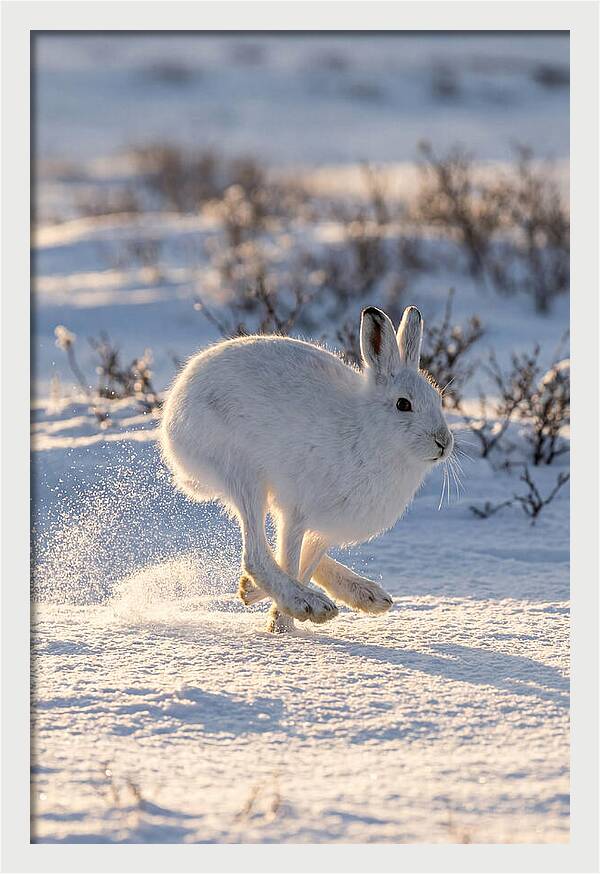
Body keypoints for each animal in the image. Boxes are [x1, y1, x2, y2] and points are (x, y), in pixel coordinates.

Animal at [160, 305, 454, 633]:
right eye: (403, 404)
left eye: (438, 398)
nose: (444, 442)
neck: (368, 433)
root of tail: (173, 411)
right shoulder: (298, 511)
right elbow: (290, 559)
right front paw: (284, 624)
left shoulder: (325, 527)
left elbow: (305, 562)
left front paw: (272, 613)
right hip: (242, 473)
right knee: (256, 554)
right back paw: (307, 602)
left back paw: (365, 595)